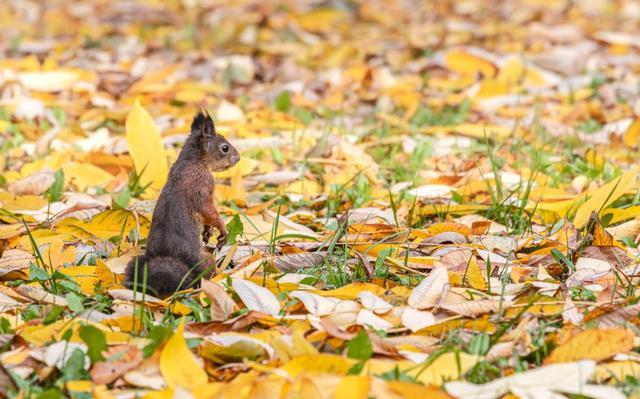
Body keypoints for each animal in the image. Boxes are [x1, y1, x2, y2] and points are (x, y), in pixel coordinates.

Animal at [123, 109, 240, 296]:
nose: (238, 158)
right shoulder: (203, 186)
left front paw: (207, 231)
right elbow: (209, 210)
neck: (193, 160)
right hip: (205, 259)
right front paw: (222, 230)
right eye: (225, 148)